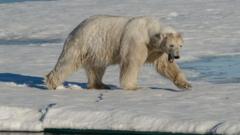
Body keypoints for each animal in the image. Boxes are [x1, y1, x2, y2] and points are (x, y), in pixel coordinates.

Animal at [45, 15, 191, 89]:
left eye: (180, 45)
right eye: (171, 45)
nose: (177, 56)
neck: (148, 30)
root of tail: (76, 28)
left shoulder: (156, 50)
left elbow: (165, 66)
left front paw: (185, 84)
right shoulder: (136, 42)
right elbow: (131, 63)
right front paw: (133, 86)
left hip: (96, 50)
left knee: (96, 67)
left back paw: (101, 85)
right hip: (82, 43)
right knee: (67, 63)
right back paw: (52, 83)